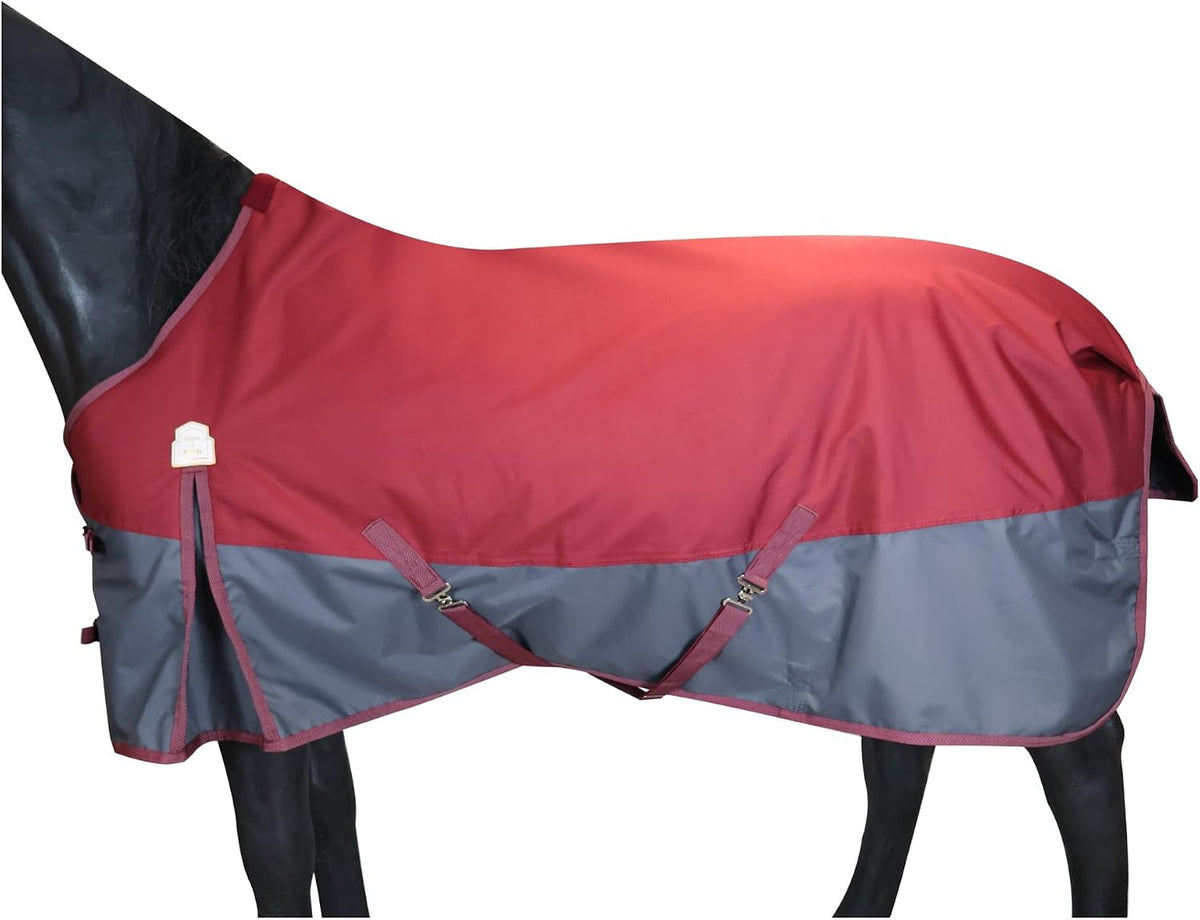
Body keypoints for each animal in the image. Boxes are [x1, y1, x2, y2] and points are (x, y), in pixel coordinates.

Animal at [3, 6, 1190, 917]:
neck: (180, 288)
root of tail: (1082, 327)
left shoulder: (221, 664)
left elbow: (277, 859)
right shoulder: (285, 657)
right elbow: (333, 833)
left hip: (1002, 623)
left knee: (1085, 774)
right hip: (895, 618)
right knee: (901, 754)